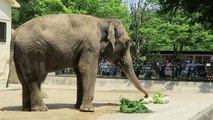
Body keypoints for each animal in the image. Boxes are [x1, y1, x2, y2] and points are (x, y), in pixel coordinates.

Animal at [11, 13, 148, 112]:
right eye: (127, 43)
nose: (146, 97)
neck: (103, 21)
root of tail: (16, 33)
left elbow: (79, 71)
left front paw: (78, 107)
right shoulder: (91, 45)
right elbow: (87, 69)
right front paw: (88, 110)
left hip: (20, 54)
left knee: (24, 81)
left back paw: (26, 109)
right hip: (33, 52)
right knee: (35, 79)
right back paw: (41, 109)